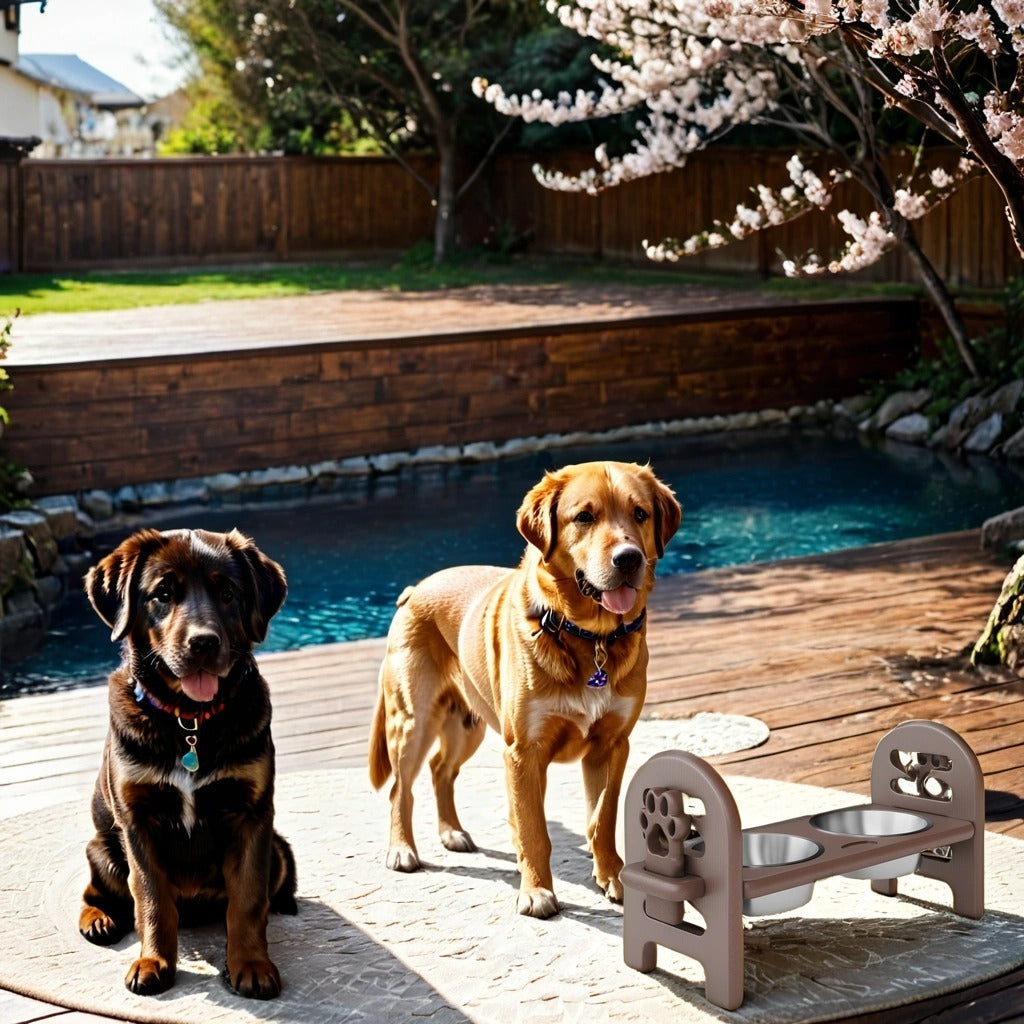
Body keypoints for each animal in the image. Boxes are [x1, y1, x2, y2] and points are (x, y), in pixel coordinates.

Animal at [79, 528, 296, 999]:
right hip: (103, 847)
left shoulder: (253, 817)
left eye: (228, 593)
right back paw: (98, 919)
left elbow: (247, 901)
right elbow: (151, 899)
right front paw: (153, 962)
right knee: (97, 891)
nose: (203, 642)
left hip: (278, 848)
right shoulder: (137, 823)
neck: (189, 721)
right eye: (163, 593)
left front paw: (250, 965)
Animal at [368, 460, 679, 917]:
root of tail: (415, 588)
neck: (590, 637)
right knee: (399, 788)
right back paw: (402, 849)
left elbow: (601, 819)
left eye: (640, 513)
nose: (629, 558)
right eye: (584, 517)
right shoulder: (523, 751)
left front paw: (613, 877)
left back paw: (451, 831)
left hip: (469, 726)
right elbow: (534, 829)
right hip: (413, 722)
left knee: (441, 769)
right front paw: (536, 891)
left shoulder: (613, 745)